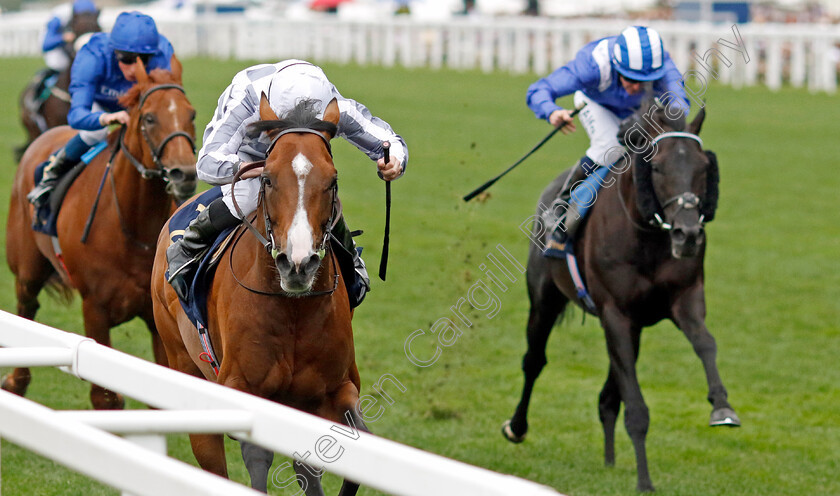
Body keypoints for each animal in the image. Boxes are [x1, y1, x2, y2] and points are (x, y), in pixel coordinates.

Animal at [4, 57, 197, 410]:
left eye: (190, 114)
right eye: (149, 118)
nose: (184, 174)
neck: (133, 229)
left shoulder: (157, 319)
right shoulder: (95, 309)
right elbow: (105, 398)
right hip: (26, 268)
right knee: (26, 309)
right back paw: (16, 381)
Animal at [153, 95, 370, 494]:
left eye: (332, 180)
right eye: (267, 178)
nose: (297, 264)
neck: (294, 310)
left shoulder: (337, 389)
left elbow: (357, 452)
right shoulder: (244, 389)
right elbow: (257, 464)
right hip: (185, 367)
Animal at [502, 101, 740, 492]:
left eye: (703, 167)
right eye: (656, 167)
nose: (689, 234)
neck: (646, 234)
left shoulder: (684, 299)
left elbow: (706, 343)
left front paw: (722, 407)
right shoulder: (616, 312)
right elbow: (637, 407)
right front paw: (644, 481)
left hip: (633, 326)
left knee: (608, 394)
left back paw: (610, 458)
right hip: (545, 299)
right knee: (534, 360)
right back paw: (517, 427)